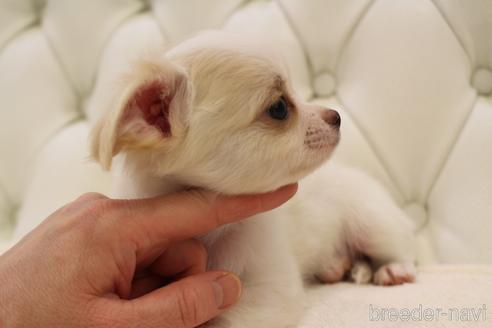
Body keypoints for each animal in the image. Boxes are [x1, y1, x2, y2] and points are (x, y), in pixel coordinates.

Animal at [89, 31, 416, 328]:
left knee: (399, 248)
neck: (212, 234)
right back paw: (337, 266)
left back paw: (393, 268)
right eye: (279, 108)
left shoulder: (269, 289)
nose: (336, 116)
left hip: (371, 221)